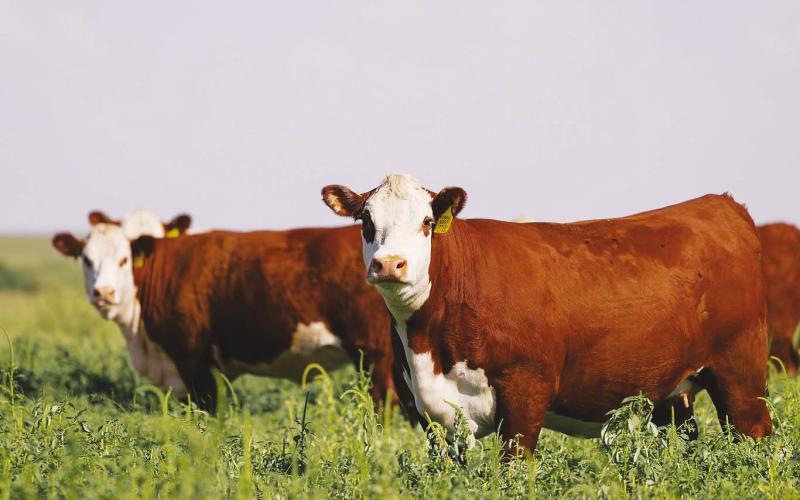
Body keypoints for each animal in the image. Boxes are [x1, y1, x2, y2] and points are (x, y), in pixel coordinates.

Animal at [321, 173, 772, 454]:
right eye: (365, 221)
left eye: (428, 222)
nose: (389, 264)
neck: (427, 343)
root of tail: (722, 205)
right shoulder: (425, 411)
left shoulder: (526, 392)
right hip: (673, 392)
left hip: (739, 373)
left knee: (754, 434)